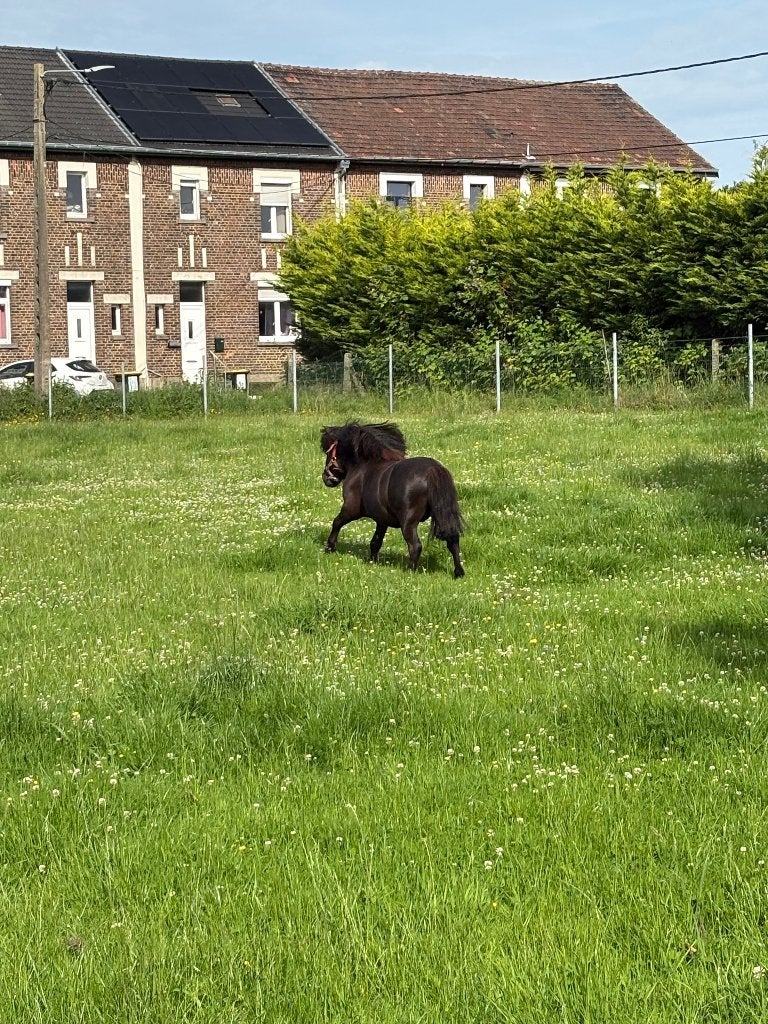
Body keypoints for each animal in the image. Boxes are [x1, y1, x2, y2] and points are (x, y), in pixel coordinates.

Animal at [320, 421, 465, 578]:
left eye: (328, 452)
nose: (326, 478)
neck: (363, 466)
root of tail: (433, 469)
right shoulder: (382, 520)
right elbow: (375, 541)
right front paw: (372, 561)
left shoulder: (351, 509)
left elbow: (336, 523)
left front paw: (330, 547)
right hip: (442, 515)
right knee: (453, 541)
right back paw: (458, 572)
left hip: (408, 522)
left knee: (415, 546)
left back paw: (409, 570)